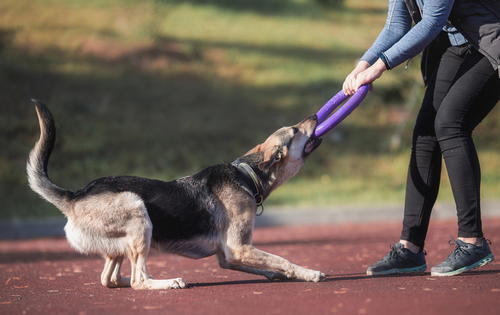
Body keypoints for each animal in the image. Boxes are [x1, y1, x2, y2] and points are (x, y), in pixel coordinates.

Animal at [26, 100, 324, 290]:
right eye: (295, 130)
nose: (315, 115)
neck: (246, 174)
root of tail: (74, 196)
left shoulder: (230, 255)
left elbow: (270, 262)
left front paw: (276, 273)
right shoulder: (239, 247)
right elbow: (284, 258)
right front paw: (309, 273)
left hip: (121, 240)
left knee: (110, 278)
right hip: (137, 209)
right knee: (138, 281)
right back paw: (169, 282)